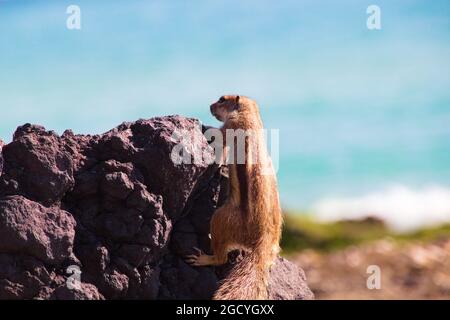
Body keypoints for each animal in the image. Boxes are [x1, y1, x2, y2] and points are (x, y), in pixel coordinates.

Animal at [185, 95, 282, 300]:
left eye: (222, 99)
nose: (210, 106)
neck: (250, 114)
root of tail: (262, 245)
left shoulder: (230, 126)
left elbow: (218, 138)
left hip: (222, 219)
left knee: (221, 258)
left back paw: (203, 258)